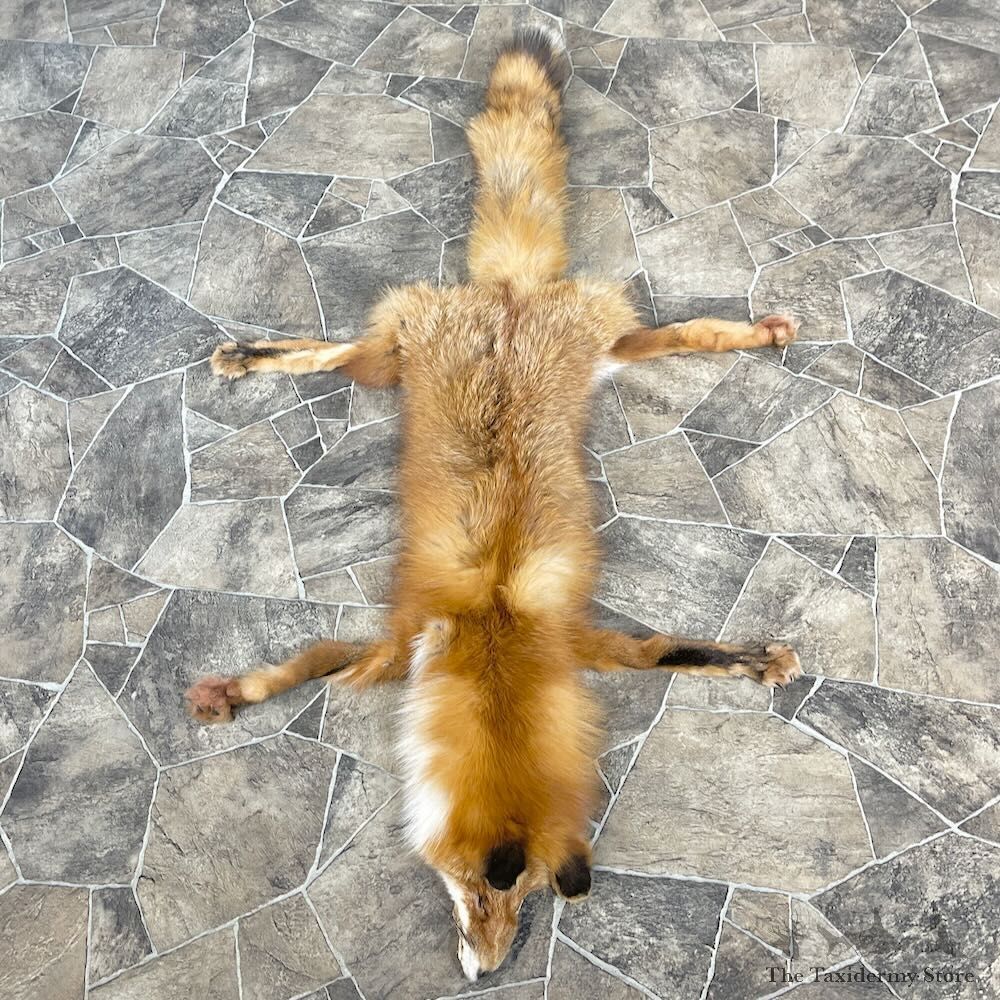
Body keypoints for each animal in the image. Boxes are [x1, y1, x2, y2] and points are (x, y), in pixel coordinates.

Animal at [185, 30, 802, 982]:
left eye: (526, 903)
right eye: (483, 895)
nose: (486, 971)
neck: (495, 629)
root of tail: (510, 294)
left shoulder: (577, 642)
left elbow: (666, 651)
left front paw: (745, 660)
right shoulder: (403, 637)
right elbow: (308, 662)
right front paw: (238, 694)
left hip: (612, 345)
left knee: (687, 334)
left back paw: (754, 333)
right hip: (394, 360)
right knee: (335, 354)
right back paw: (252, 355)